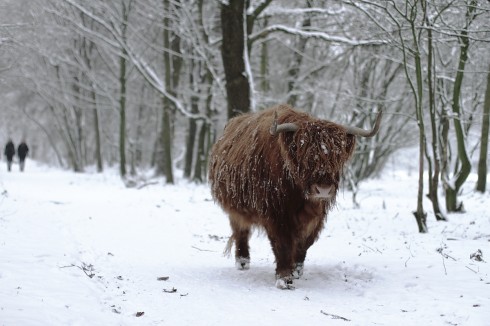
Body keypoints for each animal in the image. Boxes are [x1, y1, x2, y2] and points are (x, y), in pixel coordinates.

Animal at [209, 104, 380, 288]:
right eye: (305, 155)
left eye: (337, 156)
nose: (323, 189)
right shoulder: (276, 214)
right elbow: (282, 244)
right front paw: (284, 278)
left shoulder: (316, 217)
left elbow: (304, 244)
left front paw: (297, 270)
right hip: (235, 208)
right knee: (241, 230)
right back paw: (242, 262)